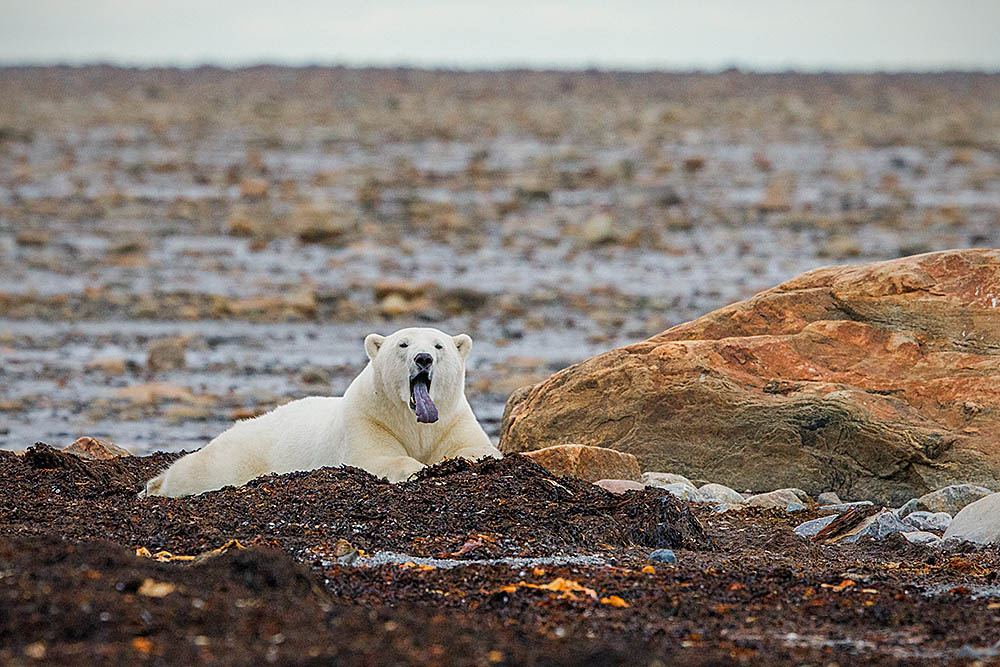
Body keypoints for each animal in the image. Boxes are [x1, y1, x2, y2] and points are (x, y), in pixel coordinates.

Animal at [141, 328, 500, 496]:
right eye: (403, 344)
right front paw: (416, 468)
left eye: (439, 346)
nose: (423, 358)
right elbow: (376, 457)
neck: (414, 421)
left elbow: (476, 449)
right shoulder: (368, 419)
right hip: (239, 455)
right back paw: (157, 485)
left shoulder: (453, 419)